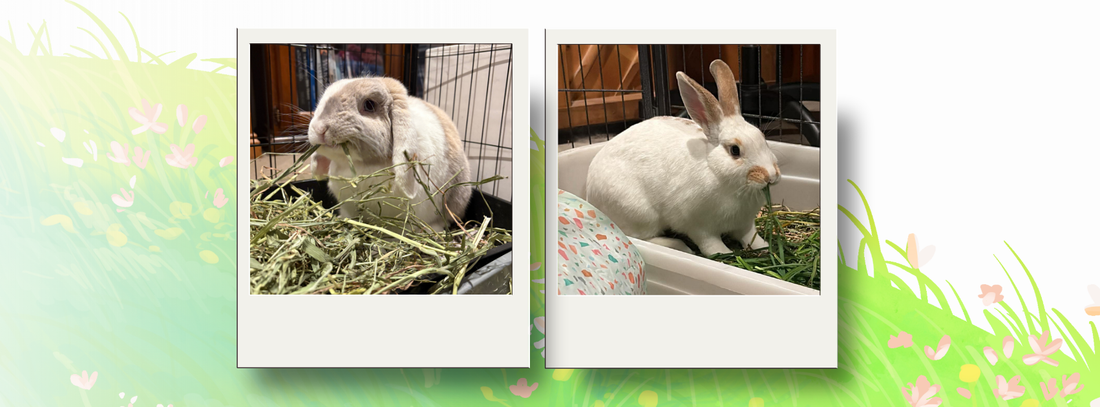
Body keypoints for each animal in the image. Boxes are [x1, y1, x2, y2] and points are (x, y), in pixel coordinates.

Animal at [584, 59, 781, 257]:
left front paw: (764, 246)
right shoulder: (699, 227)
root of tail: (590, 193)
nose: (771, 176)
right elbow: (710, 245)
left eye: (763, 139)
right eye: (734, 150)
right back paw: (680, 246)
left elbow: (750, 236)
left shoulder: (745, 223)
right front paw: (723, 253)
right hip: (640, 214)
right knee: (640, 237)